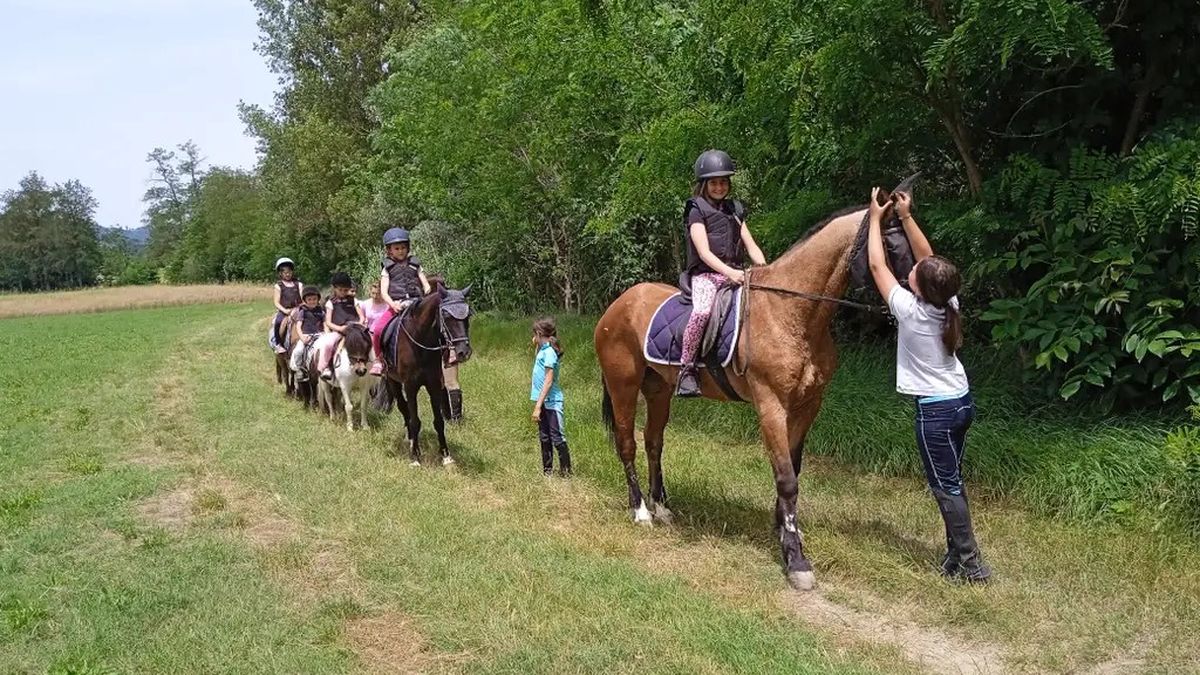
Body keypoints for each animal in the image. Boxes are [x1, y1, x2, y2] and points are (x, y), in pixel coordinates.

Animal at [380, 282, 473, 466]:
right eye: (446, 316)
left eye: (467, 316)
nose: (463, 352)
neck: (420, 342)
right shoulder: (410, 387)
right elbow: (415, 420)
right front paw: (415, 457)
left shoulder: (434, 386)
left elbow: (439, 421)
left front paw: (446, 456)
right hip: (393, 381)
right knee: (403, 408)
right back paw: (410, 439)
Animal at [594, 195, 912, 592]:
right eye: (891, 244)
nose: (926, 293)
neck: (793, 313)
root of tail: (618, 304)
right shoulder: (771, 406)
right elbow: (787, 479)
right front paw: (796, 559)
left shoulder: (807, 406)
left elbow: (794, 469)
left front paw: (786, 531)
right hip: (623, 385)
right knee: (627, 443)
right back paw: (640, 510)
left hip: (659, 390)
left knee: (654, 442)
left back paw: (662, 507)